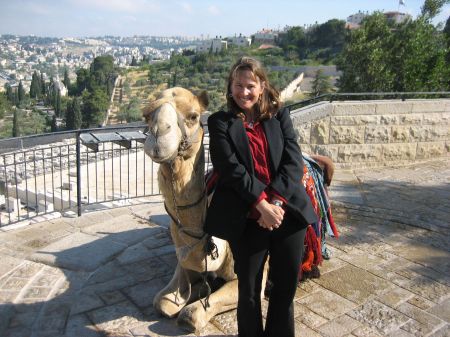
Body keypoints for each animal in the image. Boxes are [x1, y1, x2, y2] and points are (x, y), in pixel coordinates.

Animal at [143, 86, 239, 330]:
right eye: (146, 115)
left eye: (194, 116)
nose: (158, 134)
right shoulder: (184, 265)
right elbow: (162, 302)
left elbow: (191, 315)